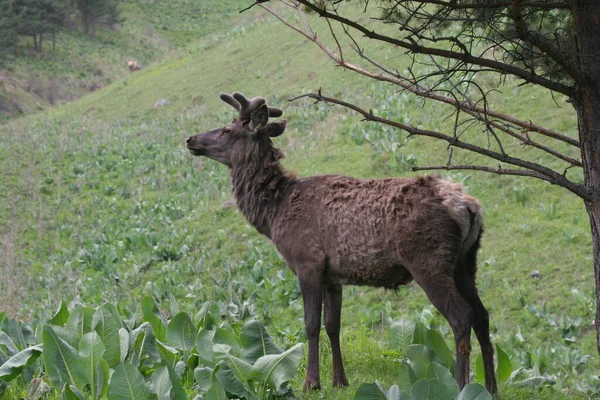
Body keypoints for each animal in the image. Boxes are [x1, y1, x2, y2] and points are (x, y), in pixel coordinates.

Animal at [185, 92, 500, 396]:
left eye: (227, 130)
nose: (190, 139)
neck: (274, 213)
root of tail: (468, 206)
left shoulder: (307, 261)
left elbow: (311, 325)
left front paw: (311, 383)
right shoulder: (333, 276)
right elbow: (332, 326)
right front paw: (340, 381)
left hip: (429, 260)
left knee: (462, 317)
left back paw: (461, 386)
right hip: (465, 262)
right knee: (482, 316)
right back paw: (490, 388)